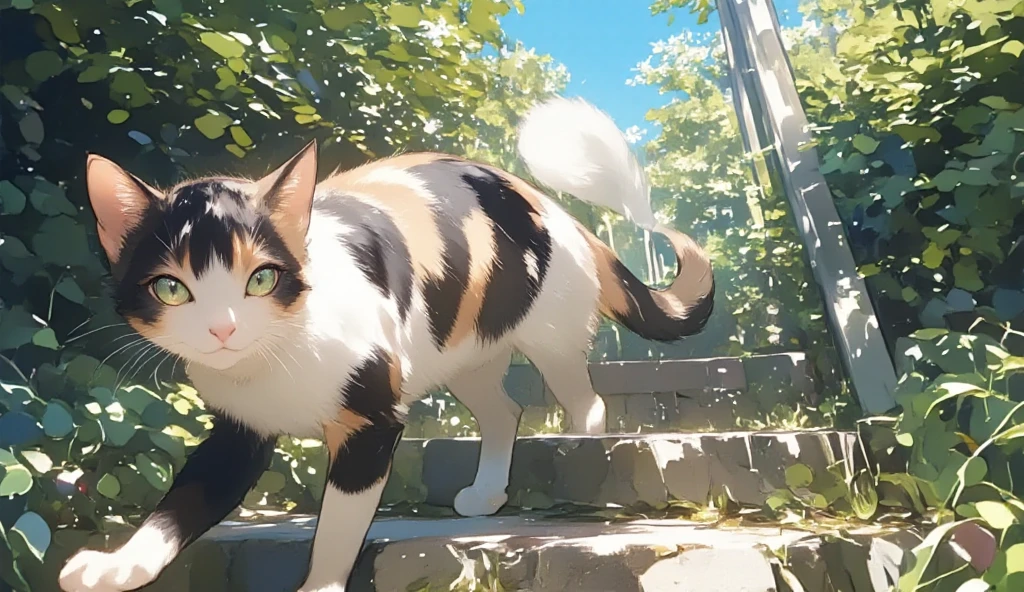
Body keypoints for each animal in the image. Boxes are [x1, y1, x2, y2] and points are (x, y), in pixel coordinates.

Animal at [56, 97, 712, 589]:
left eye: (261, 278)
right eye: (171, 287)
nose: (224, 329)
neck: (274, 363)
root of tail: (551, 205)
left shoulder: (372, 422)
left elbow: (339, 527)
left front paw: (320, 586)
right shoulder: (238, 433)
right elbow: (181, 504)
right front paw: (119, 567)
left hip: (548, 334)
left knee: (584, 397)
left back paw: (582, 443)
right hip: (461, 351)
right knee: (505, 410)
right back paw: (487, 492)